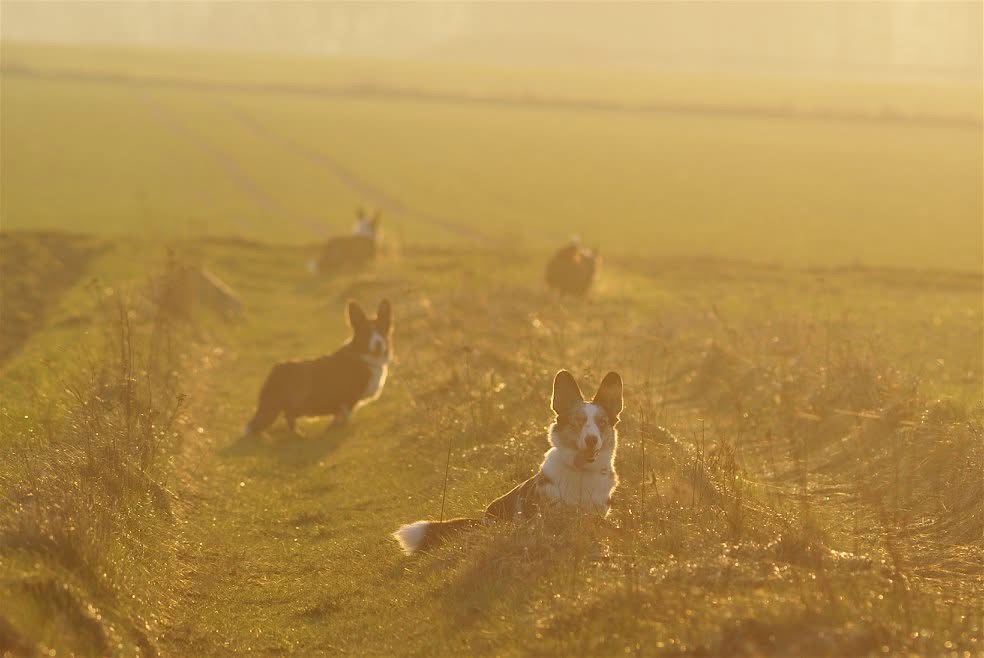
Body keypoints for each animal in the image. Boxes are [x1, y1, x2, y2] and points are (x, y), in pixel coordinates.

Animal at [244, 298, 394, 436]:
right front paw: (341, 429)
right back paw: (297, 433)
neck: (364, 355)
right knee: (285, 415)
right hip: (293, 402)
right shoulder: (349, 398)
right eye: (366, 333)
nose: (379, 344)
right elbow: (346, 416)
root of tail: (275, 370)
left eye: (381, 331)